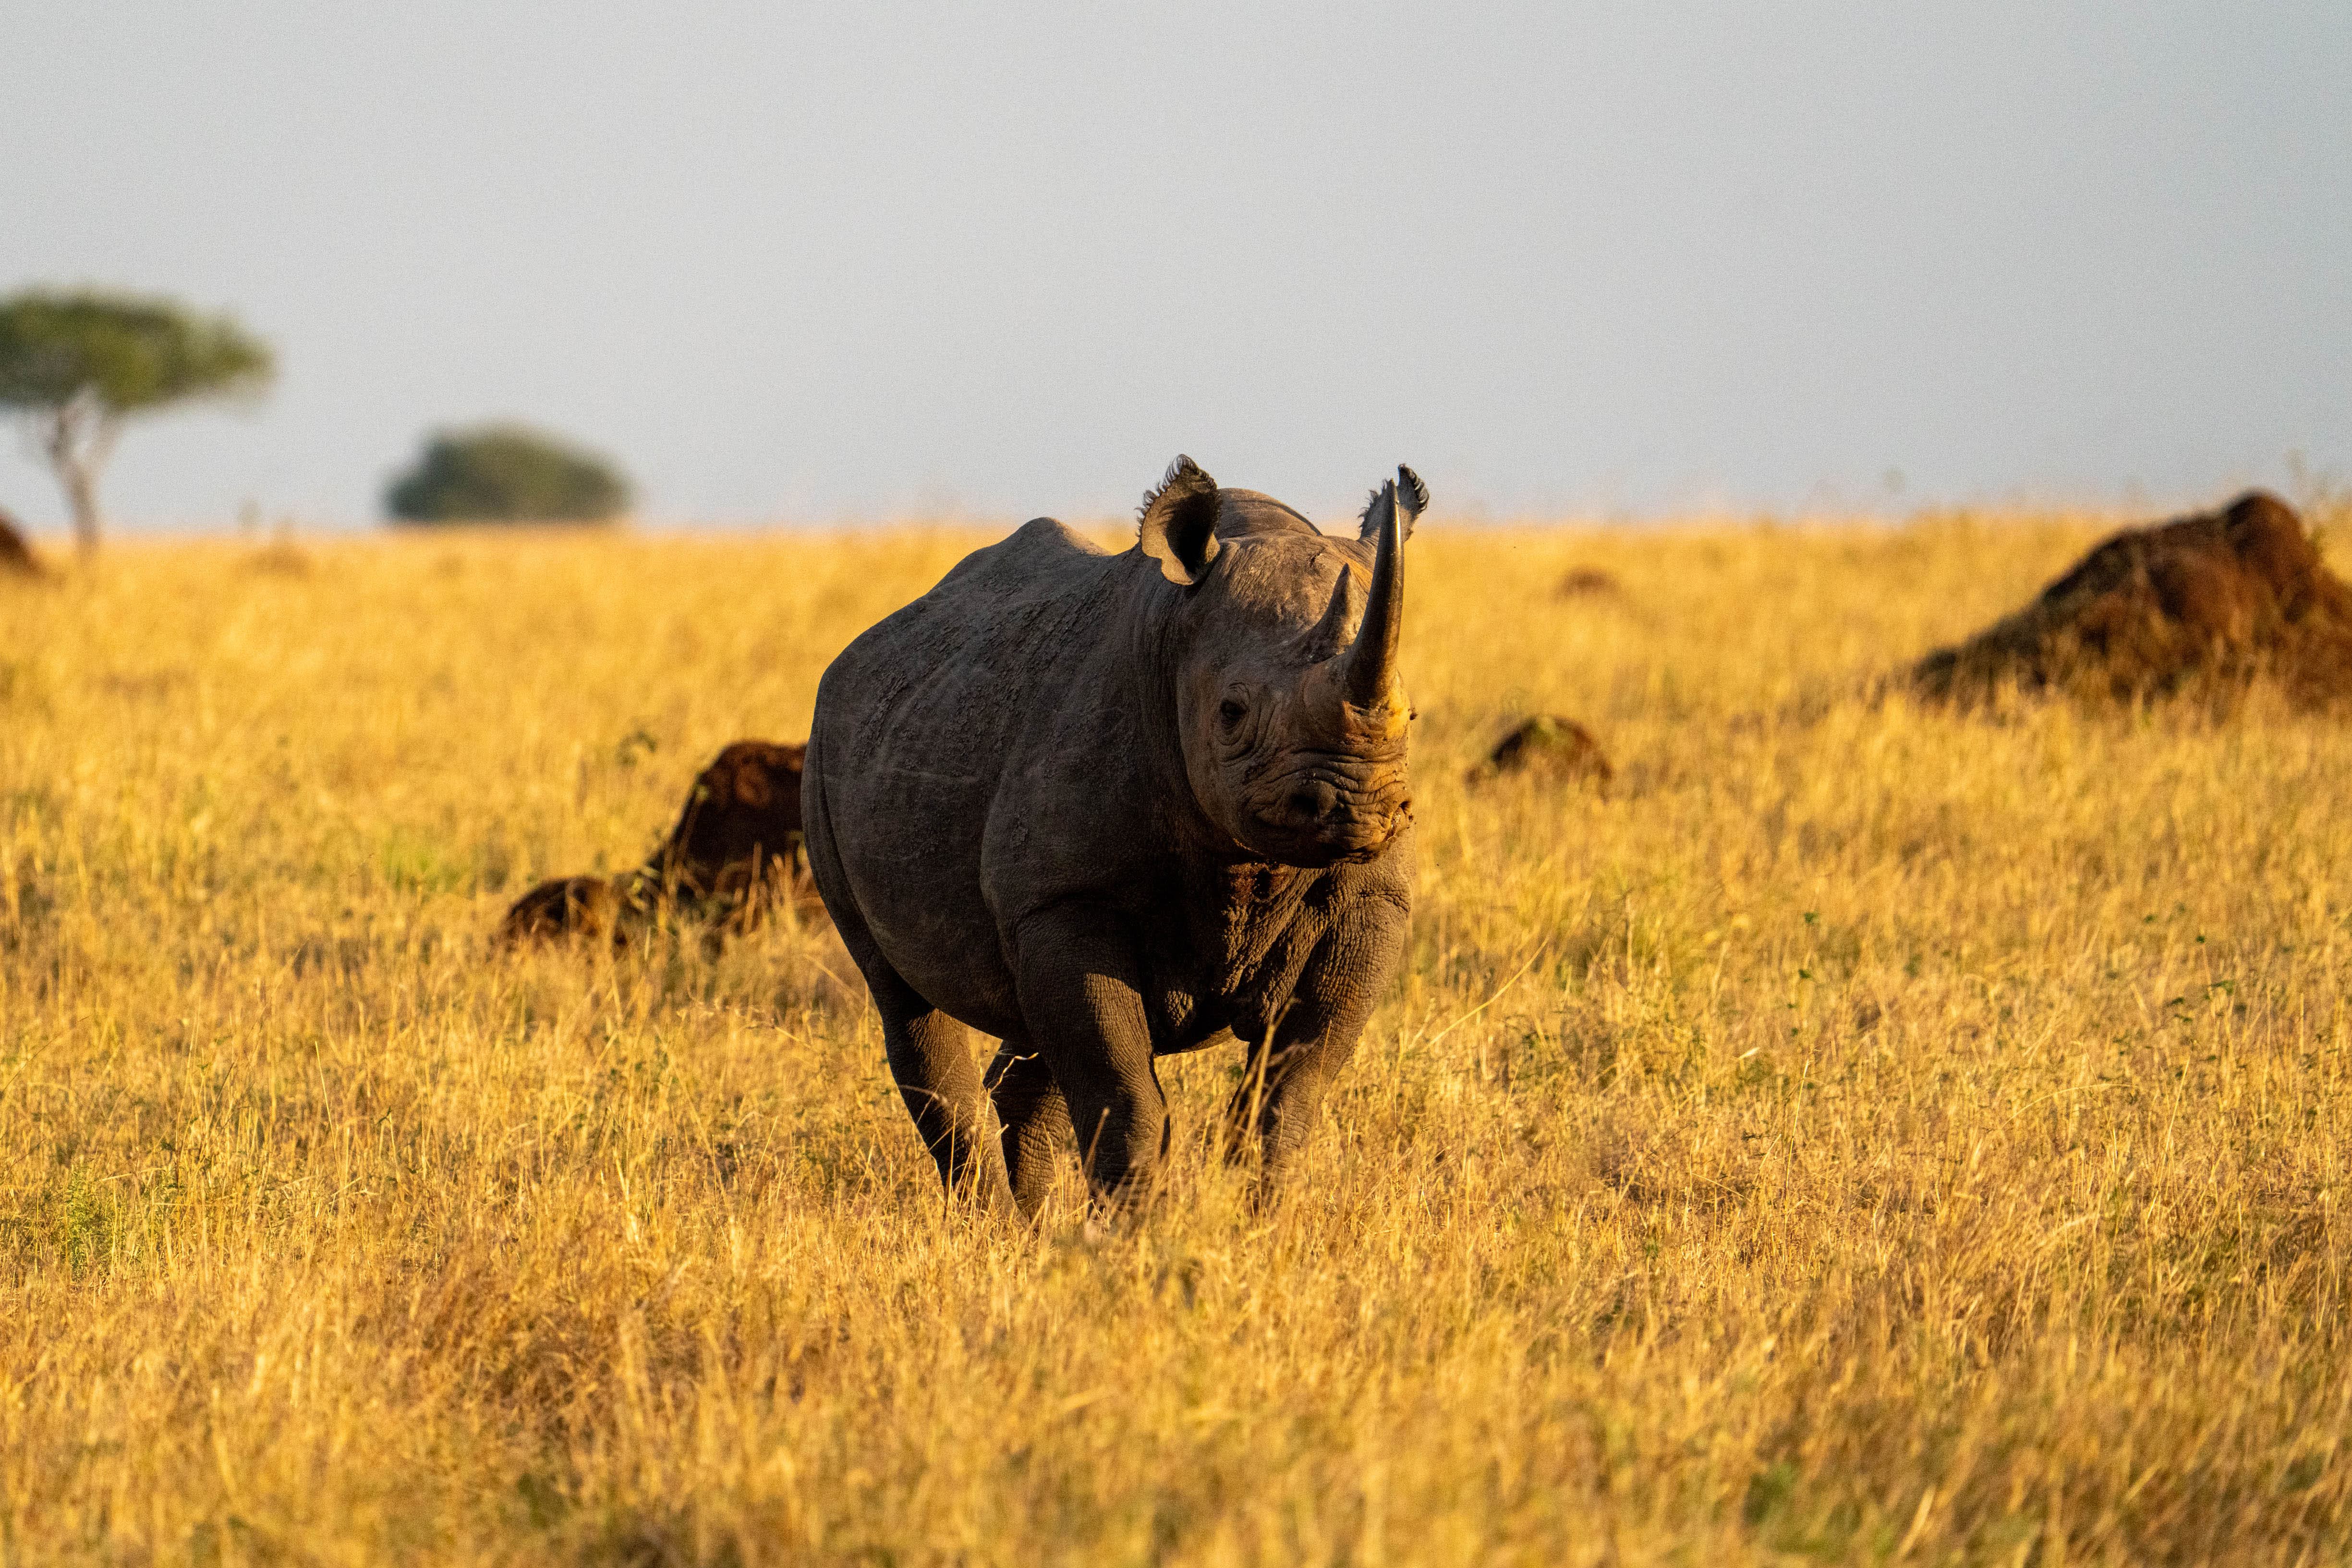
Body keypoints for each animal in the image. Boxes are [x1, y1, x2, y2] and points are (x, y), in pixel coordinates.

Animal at [804, 456, 1424, 1214]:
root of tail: (855, 652)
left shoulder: (1371, 898)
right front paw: (1133, 1233)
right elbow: (1121, 1093)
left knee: (1029, 1040)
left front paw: (1261, 1224)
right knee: (906, 1005)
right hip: (824, 750)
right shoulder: (1065, 898)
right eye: (1232, 712)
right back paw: (985, 1221)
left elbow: (1287, 1092)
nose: (1357, 806)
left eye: (1412, 715)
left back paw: (1027, 1225)